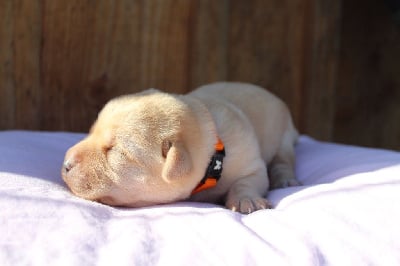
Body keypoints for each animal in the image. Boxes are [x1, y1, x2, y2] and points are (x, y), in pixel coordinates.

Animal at [61, 82, 300, 213]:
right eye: (91, 131)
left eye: (116, 151)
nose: (65, 164)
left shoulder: (251, 165)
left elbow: (247, 181)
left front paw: (245, 199)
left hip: (284, 137)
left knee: (283, 160)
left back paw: (285, 178)